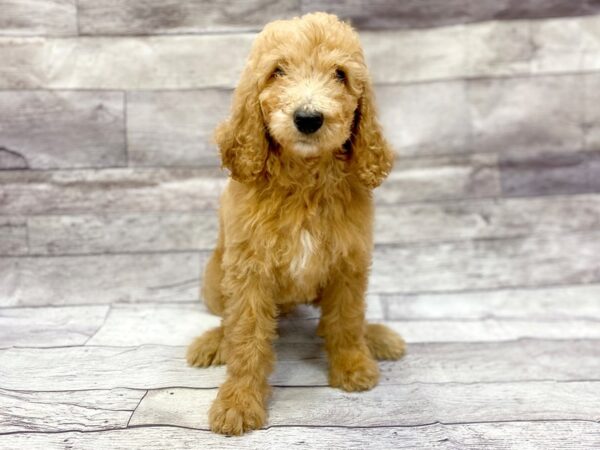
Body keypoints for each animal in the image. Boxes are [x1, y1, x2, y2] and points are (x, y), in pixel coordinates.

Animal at [185, 12, 406, 436]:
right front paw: (238, 401)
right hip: (214, 277)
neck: (305, 179)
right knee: (226, 319)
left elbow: (347, 319)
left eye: (340, 75)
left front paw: (353, 365)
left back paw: (376, 337)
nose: (308, 118)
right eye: (277, 71)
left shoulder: (349, 263)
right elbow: (246, 335)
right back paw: (213, 342)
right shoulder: (249, 270)